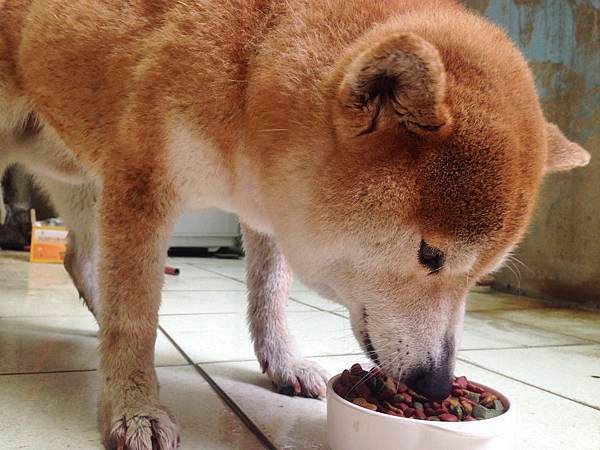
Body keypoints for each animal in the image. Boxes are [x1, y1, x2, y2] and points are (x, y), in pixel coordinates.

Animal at [0, 0, 592, 448]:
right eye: (430, 255)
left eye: (481, 277)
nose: (437, 383)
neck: (252, 60)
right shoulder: (141, 184)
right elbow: (135, 319)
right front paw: (134, 406)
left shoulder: (269, 204)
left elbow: (269, 295)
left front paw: (281, 362)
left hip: (79, 172)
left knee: (79, 256)